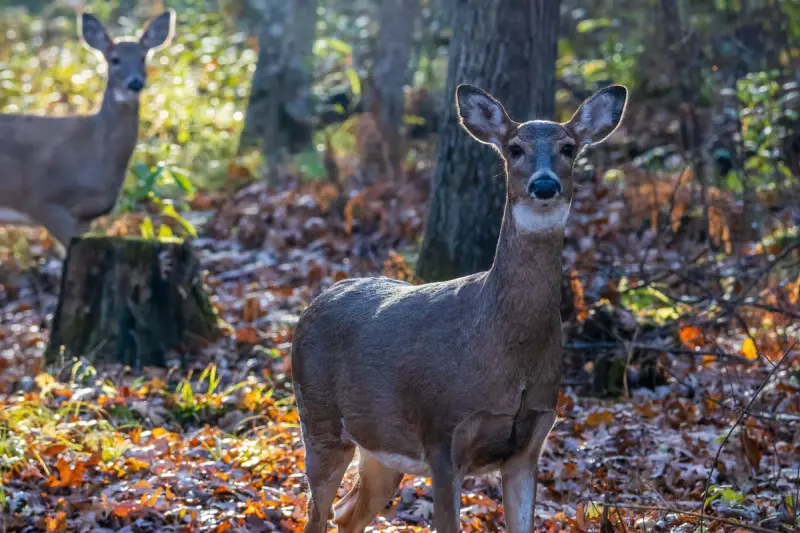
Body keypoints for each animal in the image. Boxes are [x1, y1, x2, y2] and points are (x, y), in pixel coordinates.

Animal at [291, 83, 628, 533]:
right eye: (515, 148)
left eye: (569, 148)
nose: (544, 185)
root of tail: (313, 304)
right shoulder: (442, 435)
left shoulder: (529, 445)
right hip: (319, 419)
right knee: (316, 513)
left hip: (380, 446)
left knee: (347, 513)